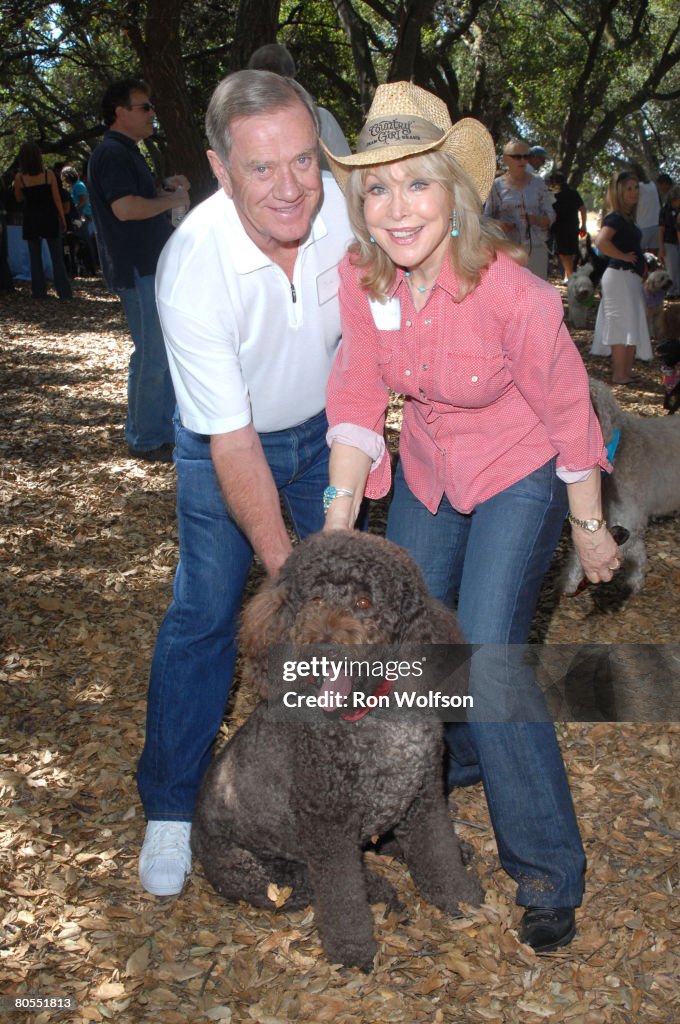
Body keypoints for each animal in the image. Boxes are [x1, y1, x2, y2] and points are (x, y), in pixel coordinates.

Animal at [191, 532, 483, 970]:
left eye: (364, 603)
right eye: (314, 599)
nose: (323, 649)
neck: (370, 714)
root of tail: (195, 843)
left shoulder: (425, 799)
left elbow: (439, 853)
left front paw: (461, 897)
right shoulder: (328, 827)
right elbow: (342, 896)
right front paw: (353, 950)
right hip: (258, 871)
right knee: (306, 887)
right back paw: (378, 888)